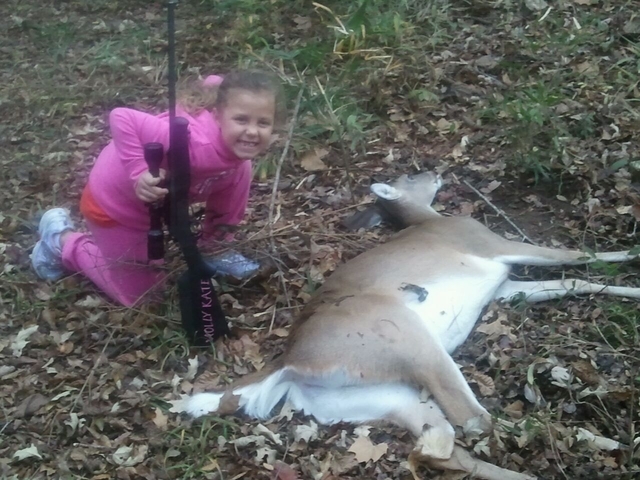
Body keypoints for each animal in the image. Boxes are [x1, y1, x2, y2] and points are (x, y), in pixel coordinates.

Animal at [185, 171, 640, 480]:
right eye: (407, 176)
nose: (434, 172)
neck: (430, 220)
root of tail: (288, 362)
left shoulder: (503, 288)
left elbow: (573, 281)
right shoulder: (490, 243)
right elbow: (573, 254)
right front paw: (630, 253)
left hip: (382, 398)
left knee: (442, 445)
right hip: (407, 339)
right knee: (474, 420)